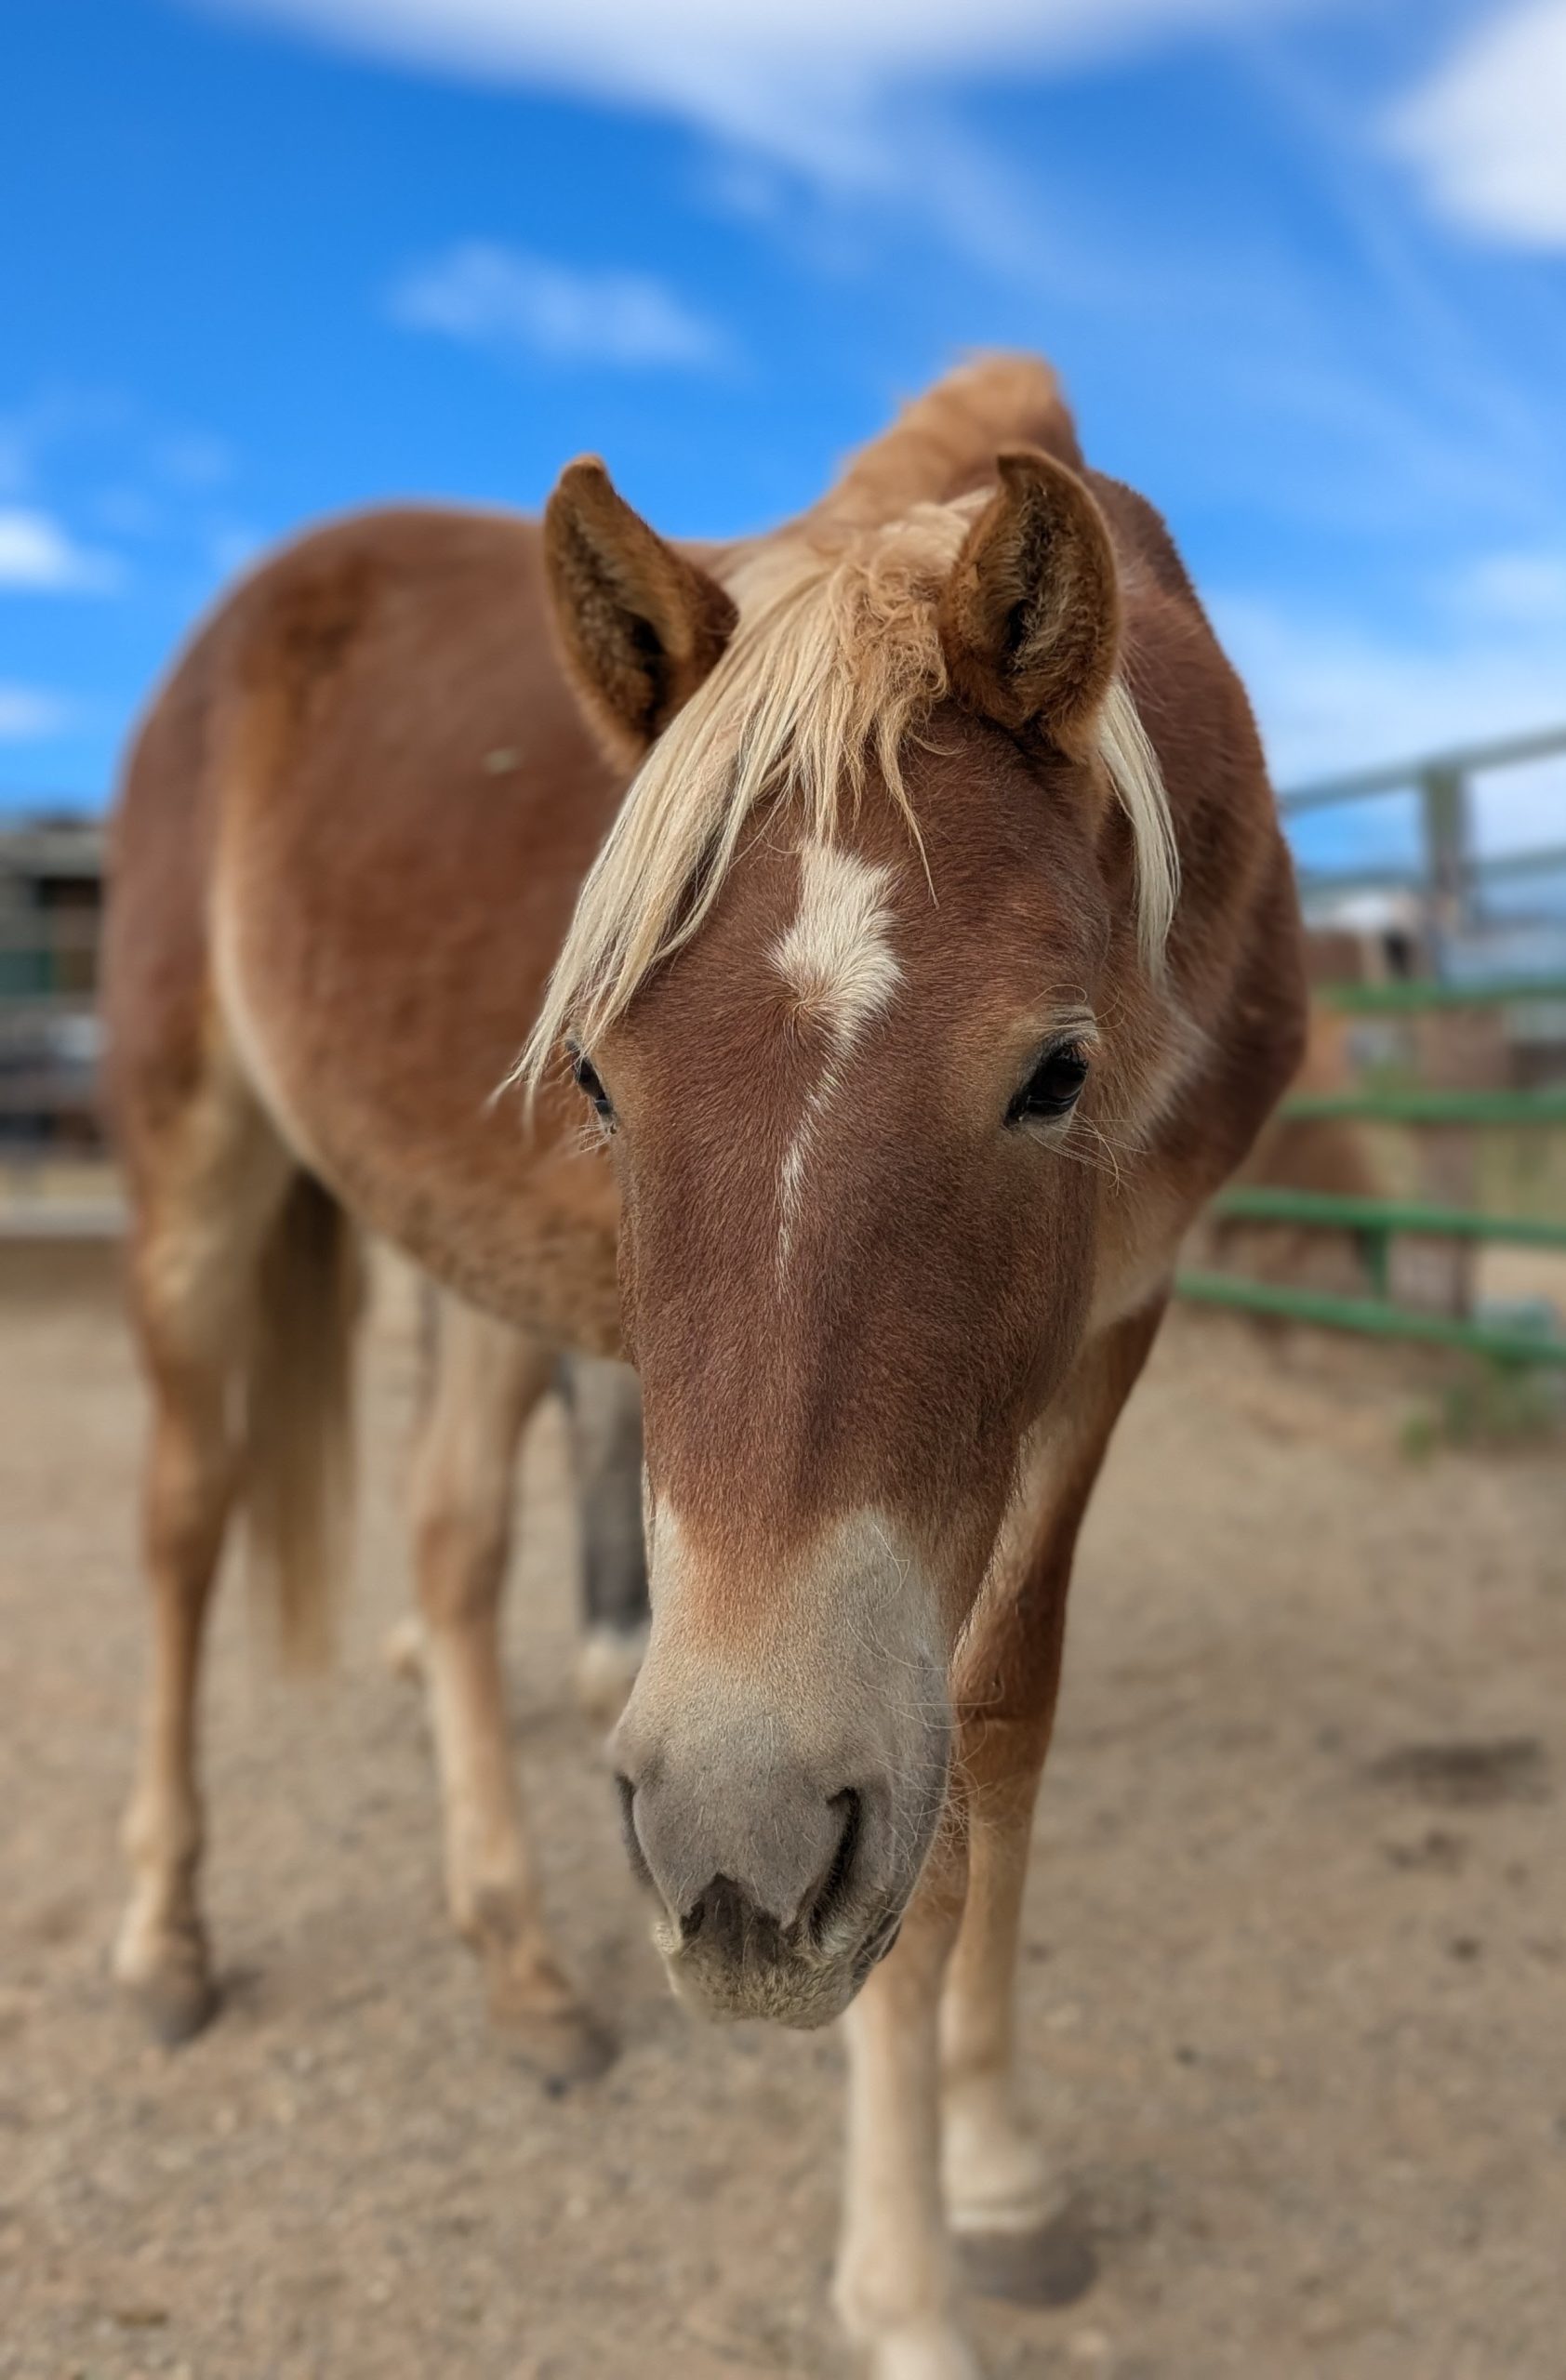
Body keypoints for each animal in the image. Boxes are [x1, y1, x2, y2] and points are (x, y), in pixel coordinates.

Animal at [103, 354, 1305, 2378]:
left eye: (1053, 1071)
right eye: (595, 1072)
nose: (729, 1850)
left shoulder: (1107, 1330)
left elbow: (993, 1744)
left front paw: (995, 2175)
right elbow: (919, 1833)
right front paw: (902, 2292)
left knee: (448, 1546)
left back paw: (518, 1963)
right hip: (196, 1156)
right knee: (187, 1524)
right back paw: (166, 1937)